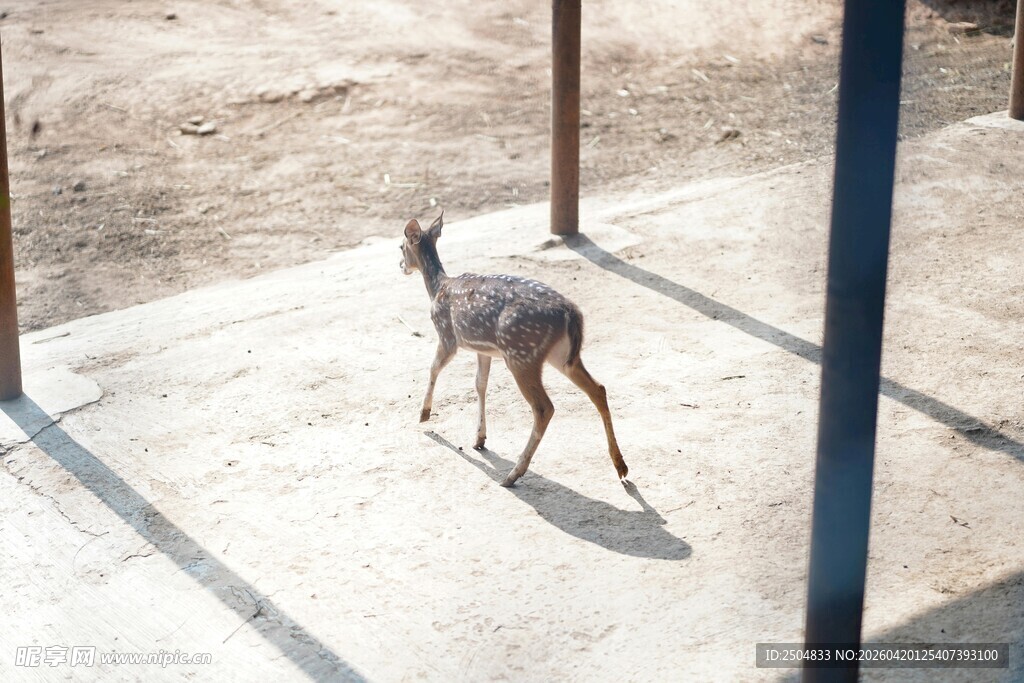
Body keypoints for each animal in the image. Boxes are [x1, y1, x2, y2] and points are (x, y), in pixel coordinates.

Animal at [400, 212, 628, 487]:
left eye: (400, 246)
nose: (400, 266)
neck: (437, 288)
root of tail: (571, 313)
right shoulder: (483, 350)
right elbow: (480, 384)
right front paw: (479, 439)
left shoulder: (447, 336)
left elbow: (433, 368)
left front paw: (424, 414)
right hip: (563, 356)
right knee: (598, 389)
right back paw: (621, 466)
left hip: (521, 355)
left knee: (544, 408)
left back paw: (513, 474)